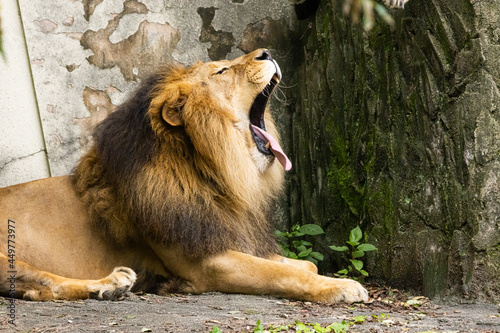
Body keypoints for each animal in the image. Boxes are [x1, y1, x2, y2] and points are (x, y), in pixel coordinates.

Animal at [0, 48, 368, 304]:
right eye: (222, 69)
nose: (267, 53)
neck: (214, 174)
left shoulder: (224, 235)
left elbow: (303, 265)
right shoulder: (207, 263)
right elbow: (281, 273)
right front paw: (340, 287)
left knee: (33, 290)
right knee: (42, 281)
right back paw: (108, 285)